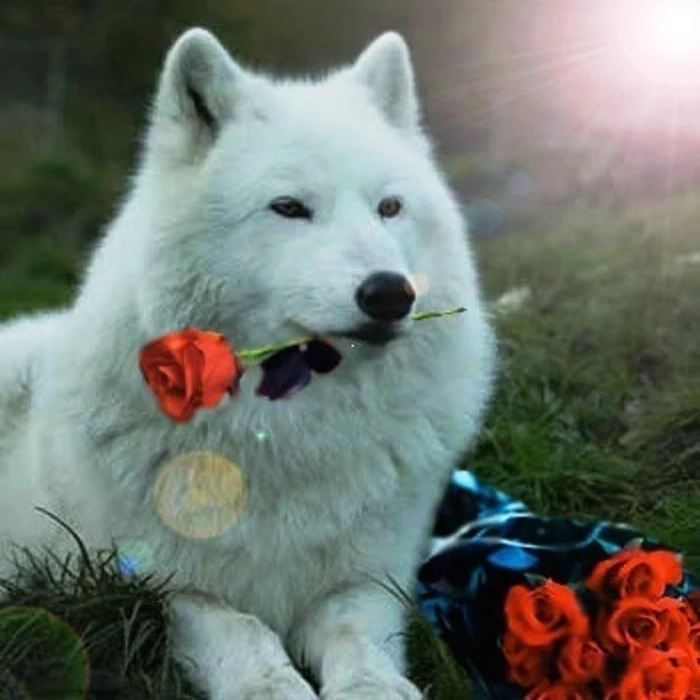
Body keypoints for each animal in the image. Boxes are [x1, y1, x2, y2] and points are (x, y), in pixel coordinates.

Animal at [0, 28, 495, 699]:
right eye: (288, 208)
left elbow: (355, 637)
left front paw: (373, 686)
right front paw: (270, 686)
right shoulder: (165, 585)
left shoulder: (368, 577)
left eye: (389, 208)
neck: (290, 431)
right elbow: (243, 630)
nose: (391, 292)